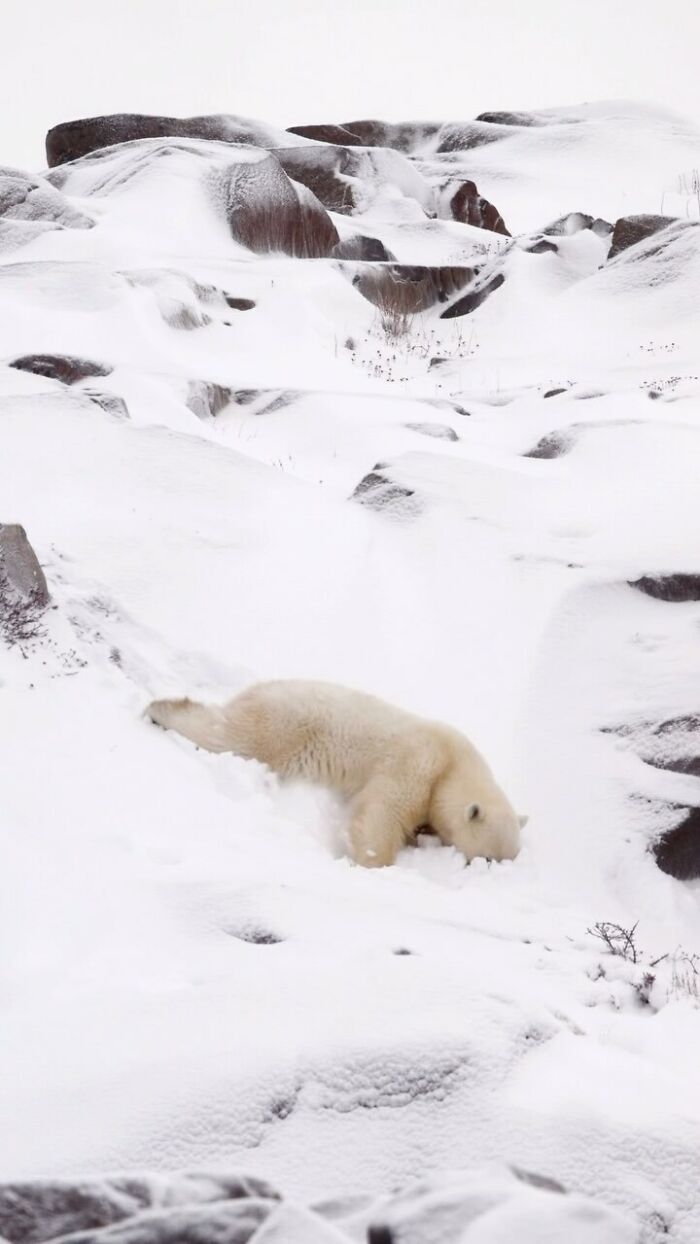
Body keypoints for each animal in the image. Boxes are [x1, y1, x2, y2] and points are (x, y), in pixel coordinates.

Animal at [146, 680, 526, 868]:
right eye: (488, 857)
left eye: (507, 858)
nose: (490, 870)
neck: (455, 764)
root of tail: (260, 687)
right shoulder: (418, 763)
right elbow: (383, 812)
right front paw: (372, 863)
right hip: (284, 724)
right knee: (233, 737)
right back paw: (161, 709)